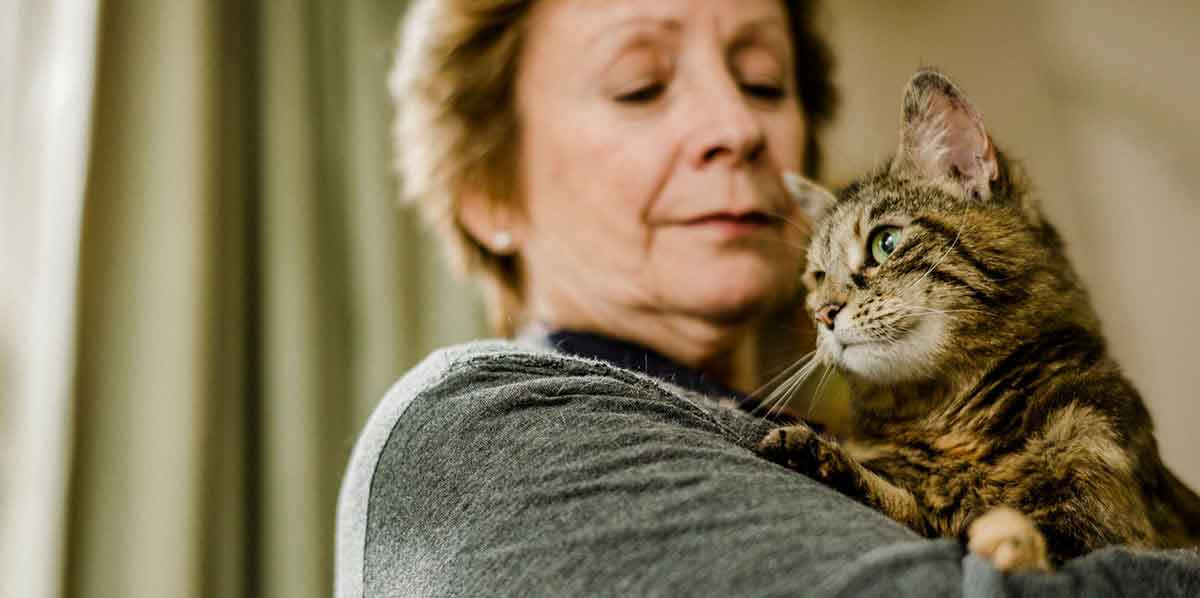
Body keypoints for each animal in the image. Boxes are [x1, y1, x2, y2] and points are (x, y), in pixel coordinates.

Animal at [758, 67, 1200, 571]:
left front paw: (1011, 541)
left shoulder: (1105, 528)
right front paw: (819, 454)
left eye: (885, 243)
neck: (950, 427)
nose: (823, 312)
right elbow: (911, 506)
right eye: (816, 277)